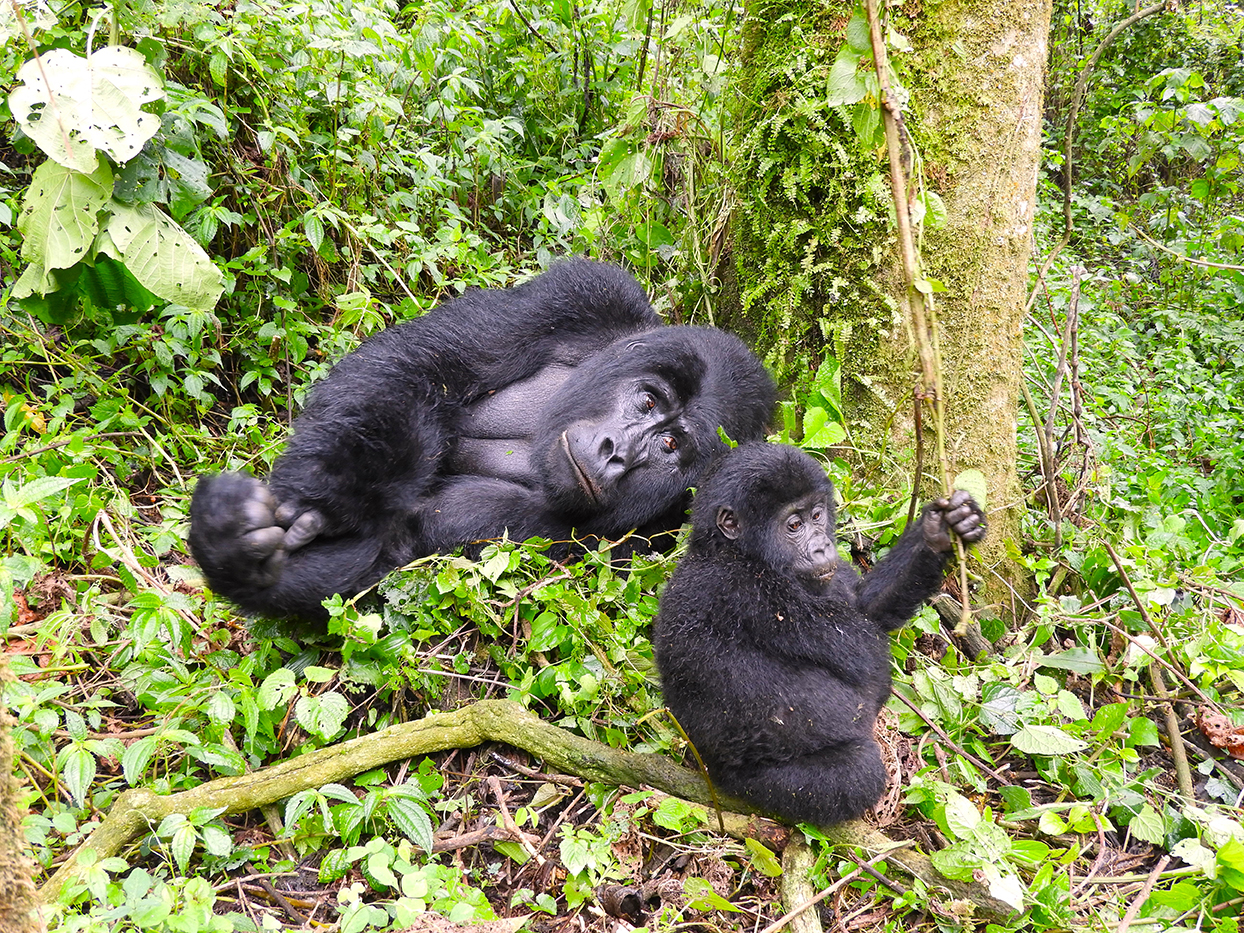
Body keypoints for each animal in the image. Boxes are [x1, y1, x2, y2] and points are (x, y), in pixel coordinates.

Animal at [189, 259, 771, 622]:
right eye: (649, 401)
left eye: (671, 448)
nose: (617, 454)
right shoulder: (589, 295)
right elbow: (419, 364)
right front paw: (326, 494)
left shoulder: (656, 537)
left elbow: (398, 543)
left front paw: (240, 560)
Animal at [656, 442, 985, 826]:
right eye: (794, 525)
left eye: (817, 516)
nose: (822, 547)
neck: (729, 550)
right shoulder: (745, 589)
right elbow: (866, 656)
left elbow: (866, 606)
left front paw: (940, 532)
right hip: (746, 784)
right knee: (857, 770)